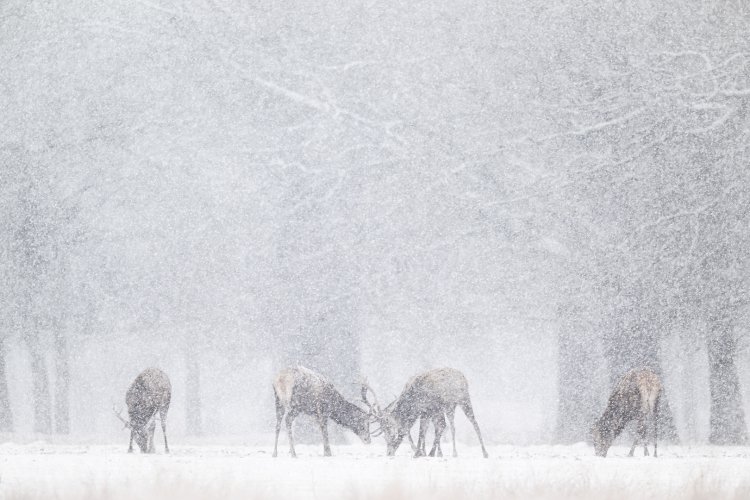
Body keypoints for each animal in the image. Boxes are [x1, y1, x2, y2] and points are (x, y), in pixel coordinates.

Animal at [366, 366, 494, 458]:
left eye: (390, 431)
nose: (389, 452)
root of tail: (464, 377)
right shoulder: (428, 412)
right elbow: (426, 430)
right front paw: (425, 452)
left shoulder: (428, 410)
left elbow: (422, 432)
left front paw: (419, 453)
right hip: (450, 407)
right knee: (449, 426)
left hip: (463, 400)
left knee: (472, 423)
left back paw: (483, 453)